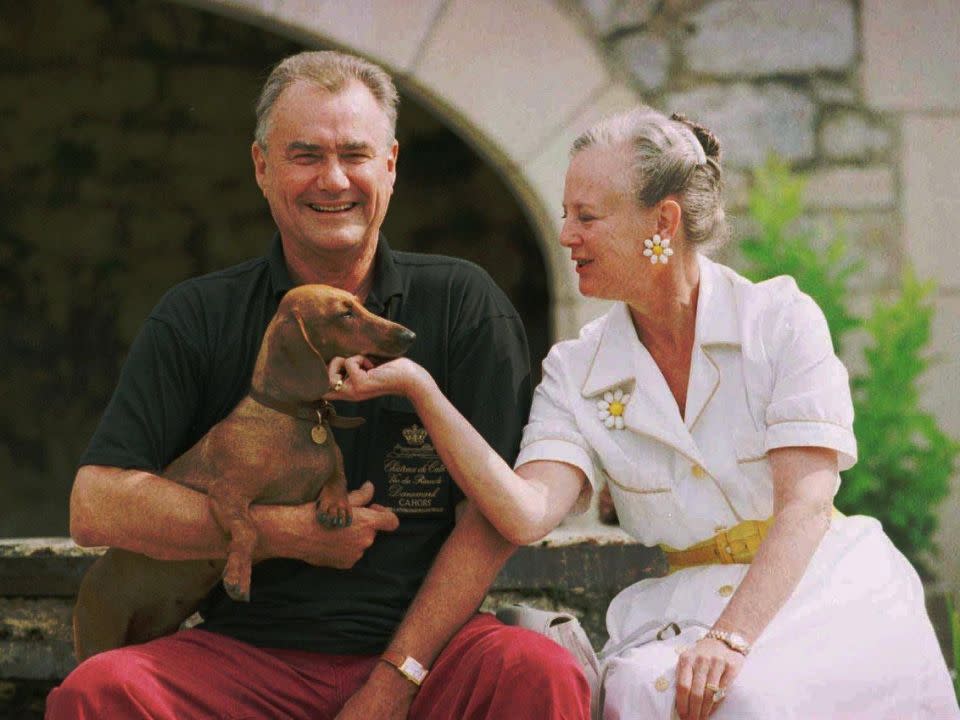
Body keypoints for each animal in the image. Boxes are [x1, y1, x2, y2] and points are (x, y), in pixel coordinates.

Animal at [73, 286, 418, 664]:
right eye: (345, 314)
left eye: (358, 304)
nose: (409, 335)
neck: (296, 419)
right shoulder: (227, 494)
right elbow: (248, 529)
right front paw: (239, 576)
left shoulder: (328, 469)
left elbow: (335, 478)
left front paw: (336, 505)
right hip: (98, 637)